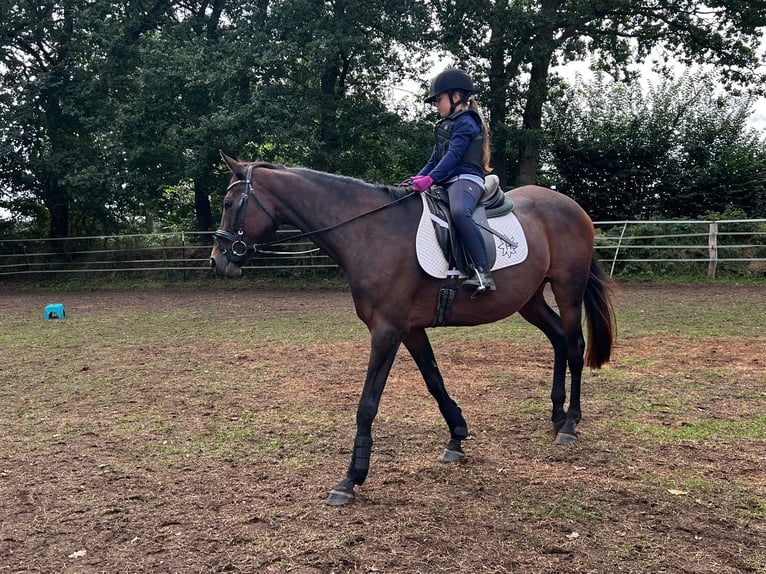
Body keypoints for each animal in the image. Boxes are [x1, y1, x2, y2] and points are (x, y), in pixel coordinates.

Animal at [210, 152, 616, 506]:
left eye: (229, 203)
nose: (217, 262)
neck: (371, 231)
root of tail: (573, 207)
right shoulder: (409, 330)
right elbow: (434, 380)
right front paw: (456, 437)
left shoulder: (387, 330)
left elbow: (367, 403)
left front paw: (351, 478)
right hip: (529, 300)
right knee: (559, 340)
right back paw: (557, 415)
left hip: (567, 289)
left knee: (574, 345)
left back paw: (570, 424)